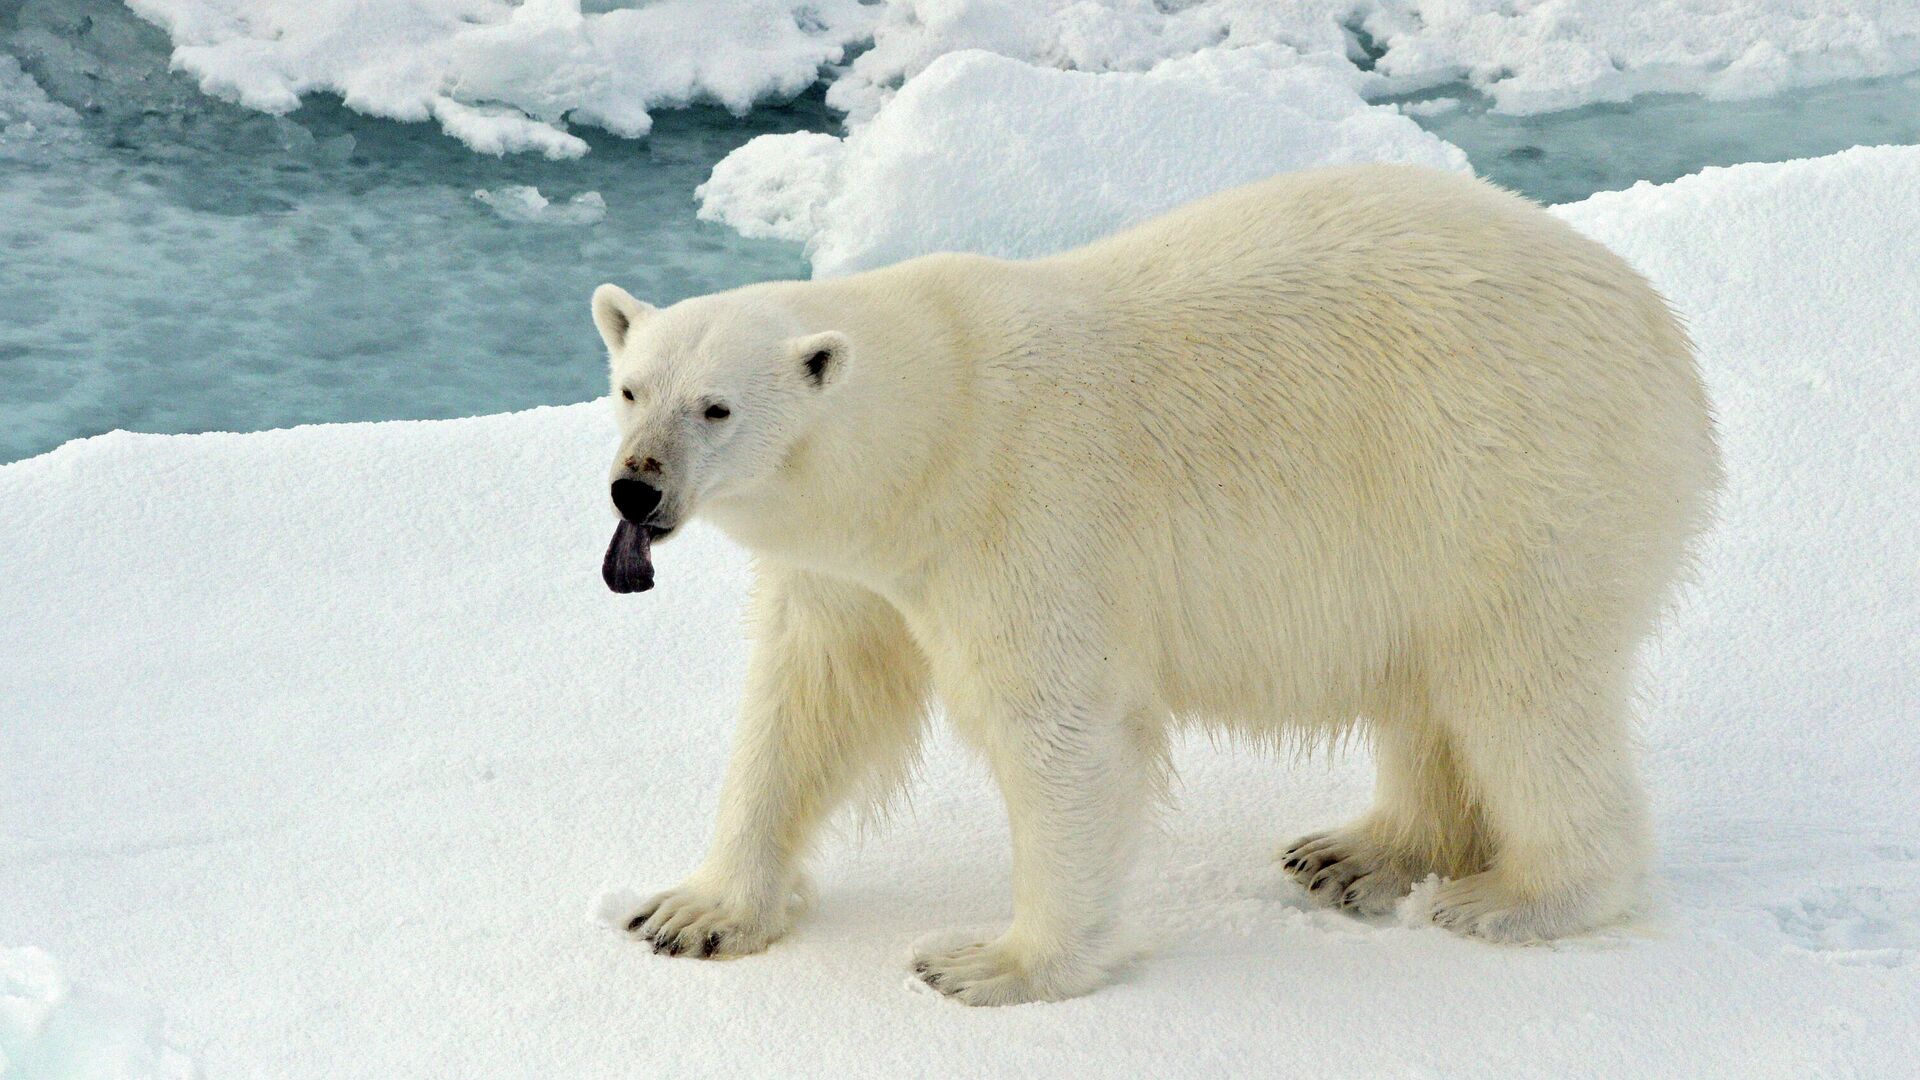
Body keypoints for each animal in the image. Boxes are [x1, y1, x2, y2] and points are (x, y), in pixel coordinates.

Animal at [587, 166, 1728, 999]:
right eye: (631, 388)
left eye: (717, 408)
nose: (636, 488)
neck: (939, 428)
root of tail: (1663, 335)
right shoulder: (853, 572)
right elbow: (810, 705)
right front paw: (691, 913)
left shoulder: (1026, 518)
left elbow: (1061, 732)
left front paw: (992, 963)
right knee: (1432, 688)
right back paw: (1358, 852)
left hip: (1513, 487)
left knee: (1519, 692)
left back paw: (1517, 897)